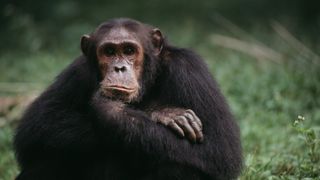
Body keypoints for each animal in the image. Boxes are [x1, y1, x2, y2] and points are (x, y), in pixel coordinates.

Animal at [13, 17, 241, 179]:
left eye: (129, 50)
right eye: (109, 51)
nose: (119, 68)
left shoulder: (190, 71)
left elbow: (219, 150)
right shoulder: (77, 72)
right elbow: (36, 126)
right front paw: (164, 114)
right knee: (46, 159)